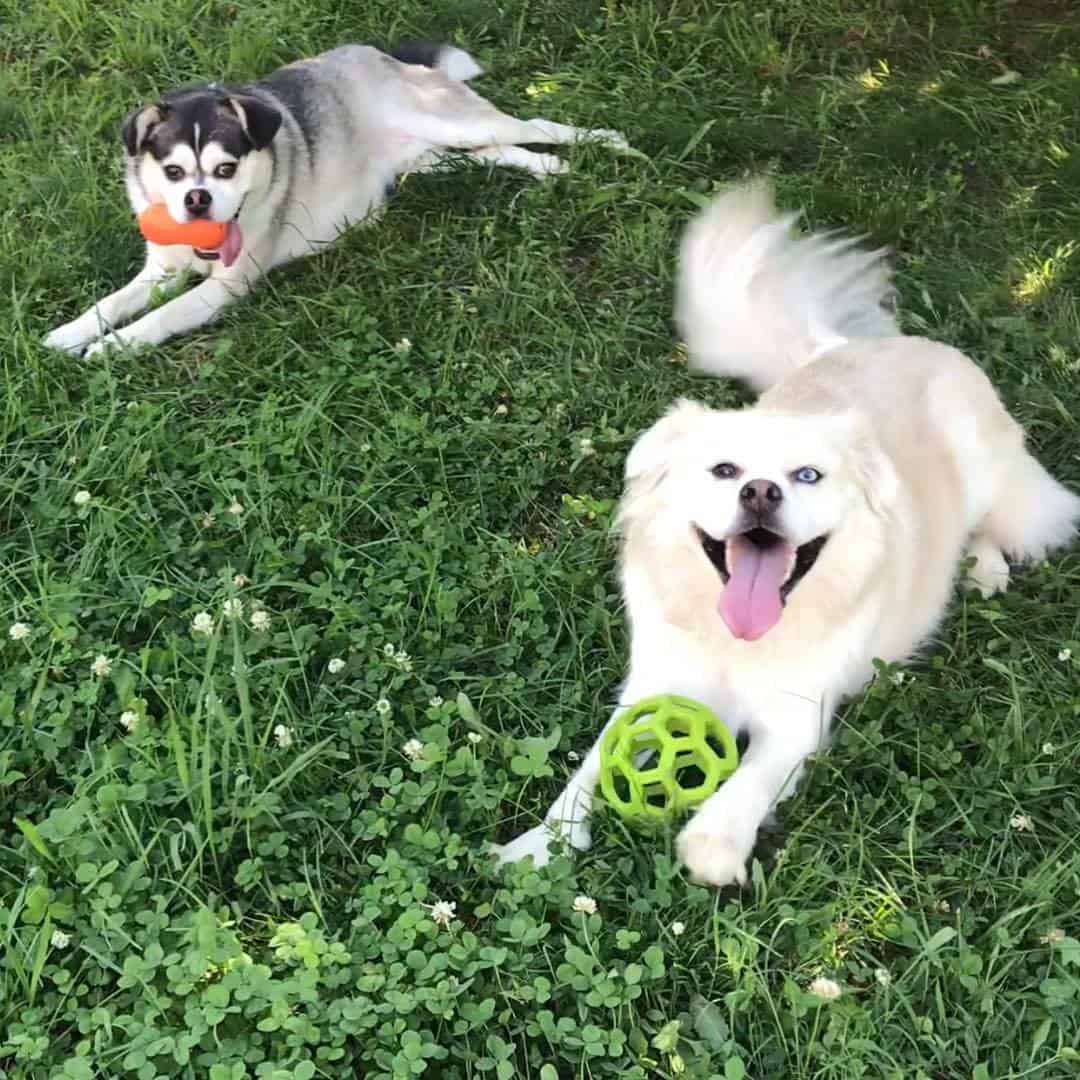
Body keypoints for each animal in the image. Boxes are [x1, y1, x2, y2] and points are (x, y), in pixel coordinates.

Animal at [46, 42, 630, 356]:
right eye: (172, 172)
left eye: (225, 169)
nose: (197, 202)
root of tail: (377, 54)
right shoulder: (161, 272)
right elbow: (111, 303)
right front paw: (69, 333)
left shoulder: (224, 288)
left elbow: (159, 318)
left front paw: (113, 347)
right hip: (437, 158)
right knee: (503, 150)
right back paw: (552, 168)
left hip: (455, 122)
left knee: (538, 125)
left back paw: (609, 143)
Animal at [494, 179, 1080, 885]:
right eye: (724, 470)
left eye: (807, 476)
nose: (760, 491)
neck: (736, 641)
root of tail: (849, 345)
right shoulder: (652, 687)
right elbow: (589, 769)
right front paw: (537, 847)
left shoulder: (798, 719)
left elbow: (743, 787)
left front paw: (714, 848)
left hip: (991, 472)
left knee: (1000, 517)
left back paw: (984, 567)